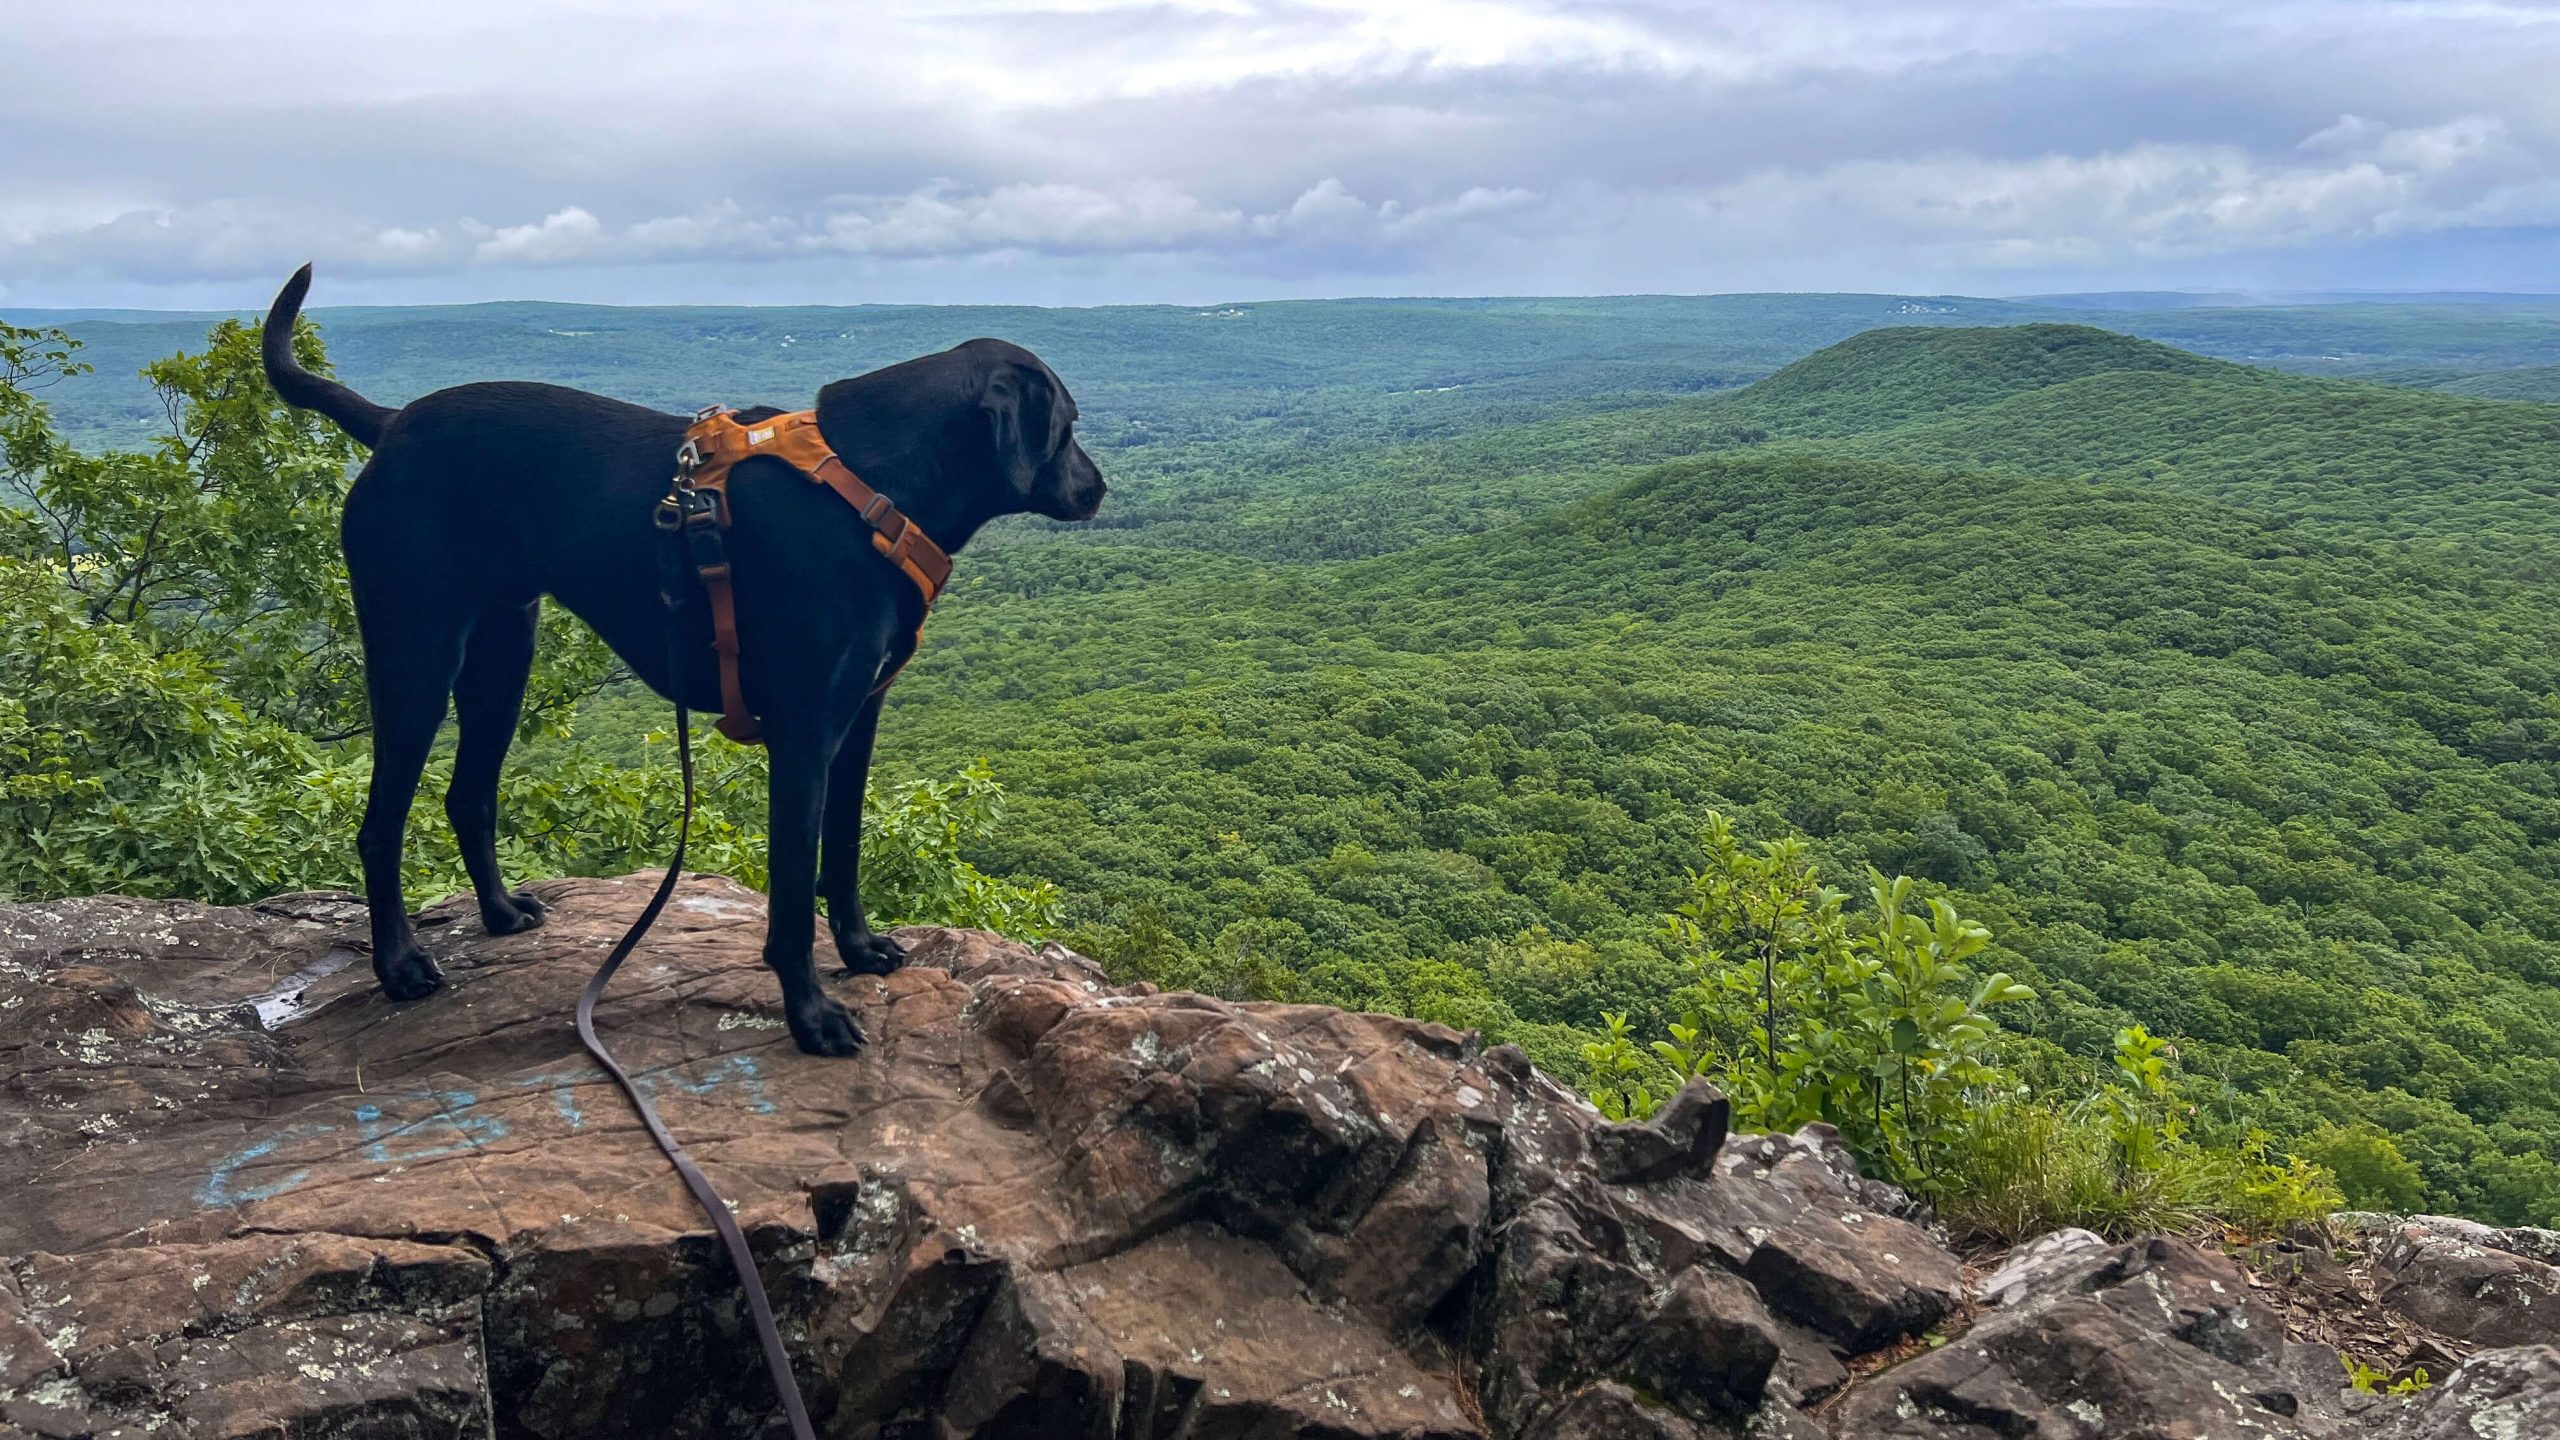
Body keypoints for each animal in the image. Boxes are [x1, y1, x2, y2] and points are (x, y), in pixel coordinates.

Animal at [259, 266, 1100, 1055]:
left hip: (503, 657)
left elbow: (843, 851)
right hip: (416, 656)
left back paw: (498, 912)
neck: (870, 485)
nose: (1096, 488)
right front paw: (811, 1016)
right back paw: (400, 965)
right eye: (1066, 425)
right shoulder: (802, 734)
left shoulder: (857, 722)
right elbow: (792, 889)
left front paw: (859, 950)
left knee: (469, 796)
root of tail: (393, 422)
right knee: (380, 826)